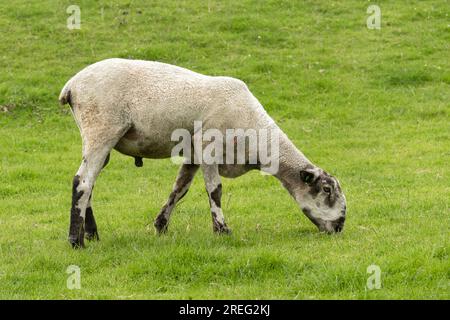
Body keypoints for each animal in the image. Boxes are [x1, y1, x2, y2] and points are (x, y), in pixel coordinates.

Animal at [59, 58, 348, 248]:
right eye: (326, 190)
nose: (340, 225)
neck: (257, 137)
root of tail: (71, 85)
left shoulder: (193, 154)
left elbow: (180, 189)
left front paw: (161, 226)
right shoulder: (209, 147)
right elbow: (215, 190)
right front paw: (222, 230)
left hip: (95, 135)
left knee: (90, 183)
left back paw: (91, 235)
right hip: (102, 129)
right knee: (82, 181)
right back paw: (76, 241)